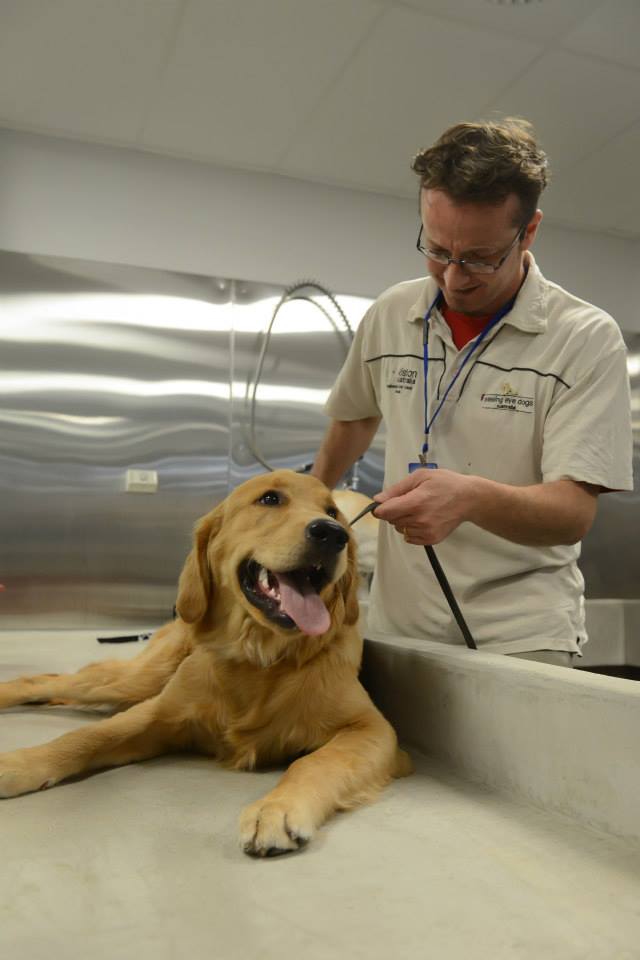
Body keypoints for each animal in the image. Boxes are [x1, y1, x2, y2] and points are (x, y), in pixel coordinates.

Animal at [0, 470, 410, 856]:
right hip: (136, 680)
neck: (258, 656)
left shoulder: (371, 728)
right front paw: (21, 763)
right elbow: (87, 737)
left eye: (331, 511)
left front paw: (277, 808)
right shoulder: (157, 712)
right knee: (50, 681)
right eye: (270, 499)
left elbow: (314, 762)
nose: (332, 533)